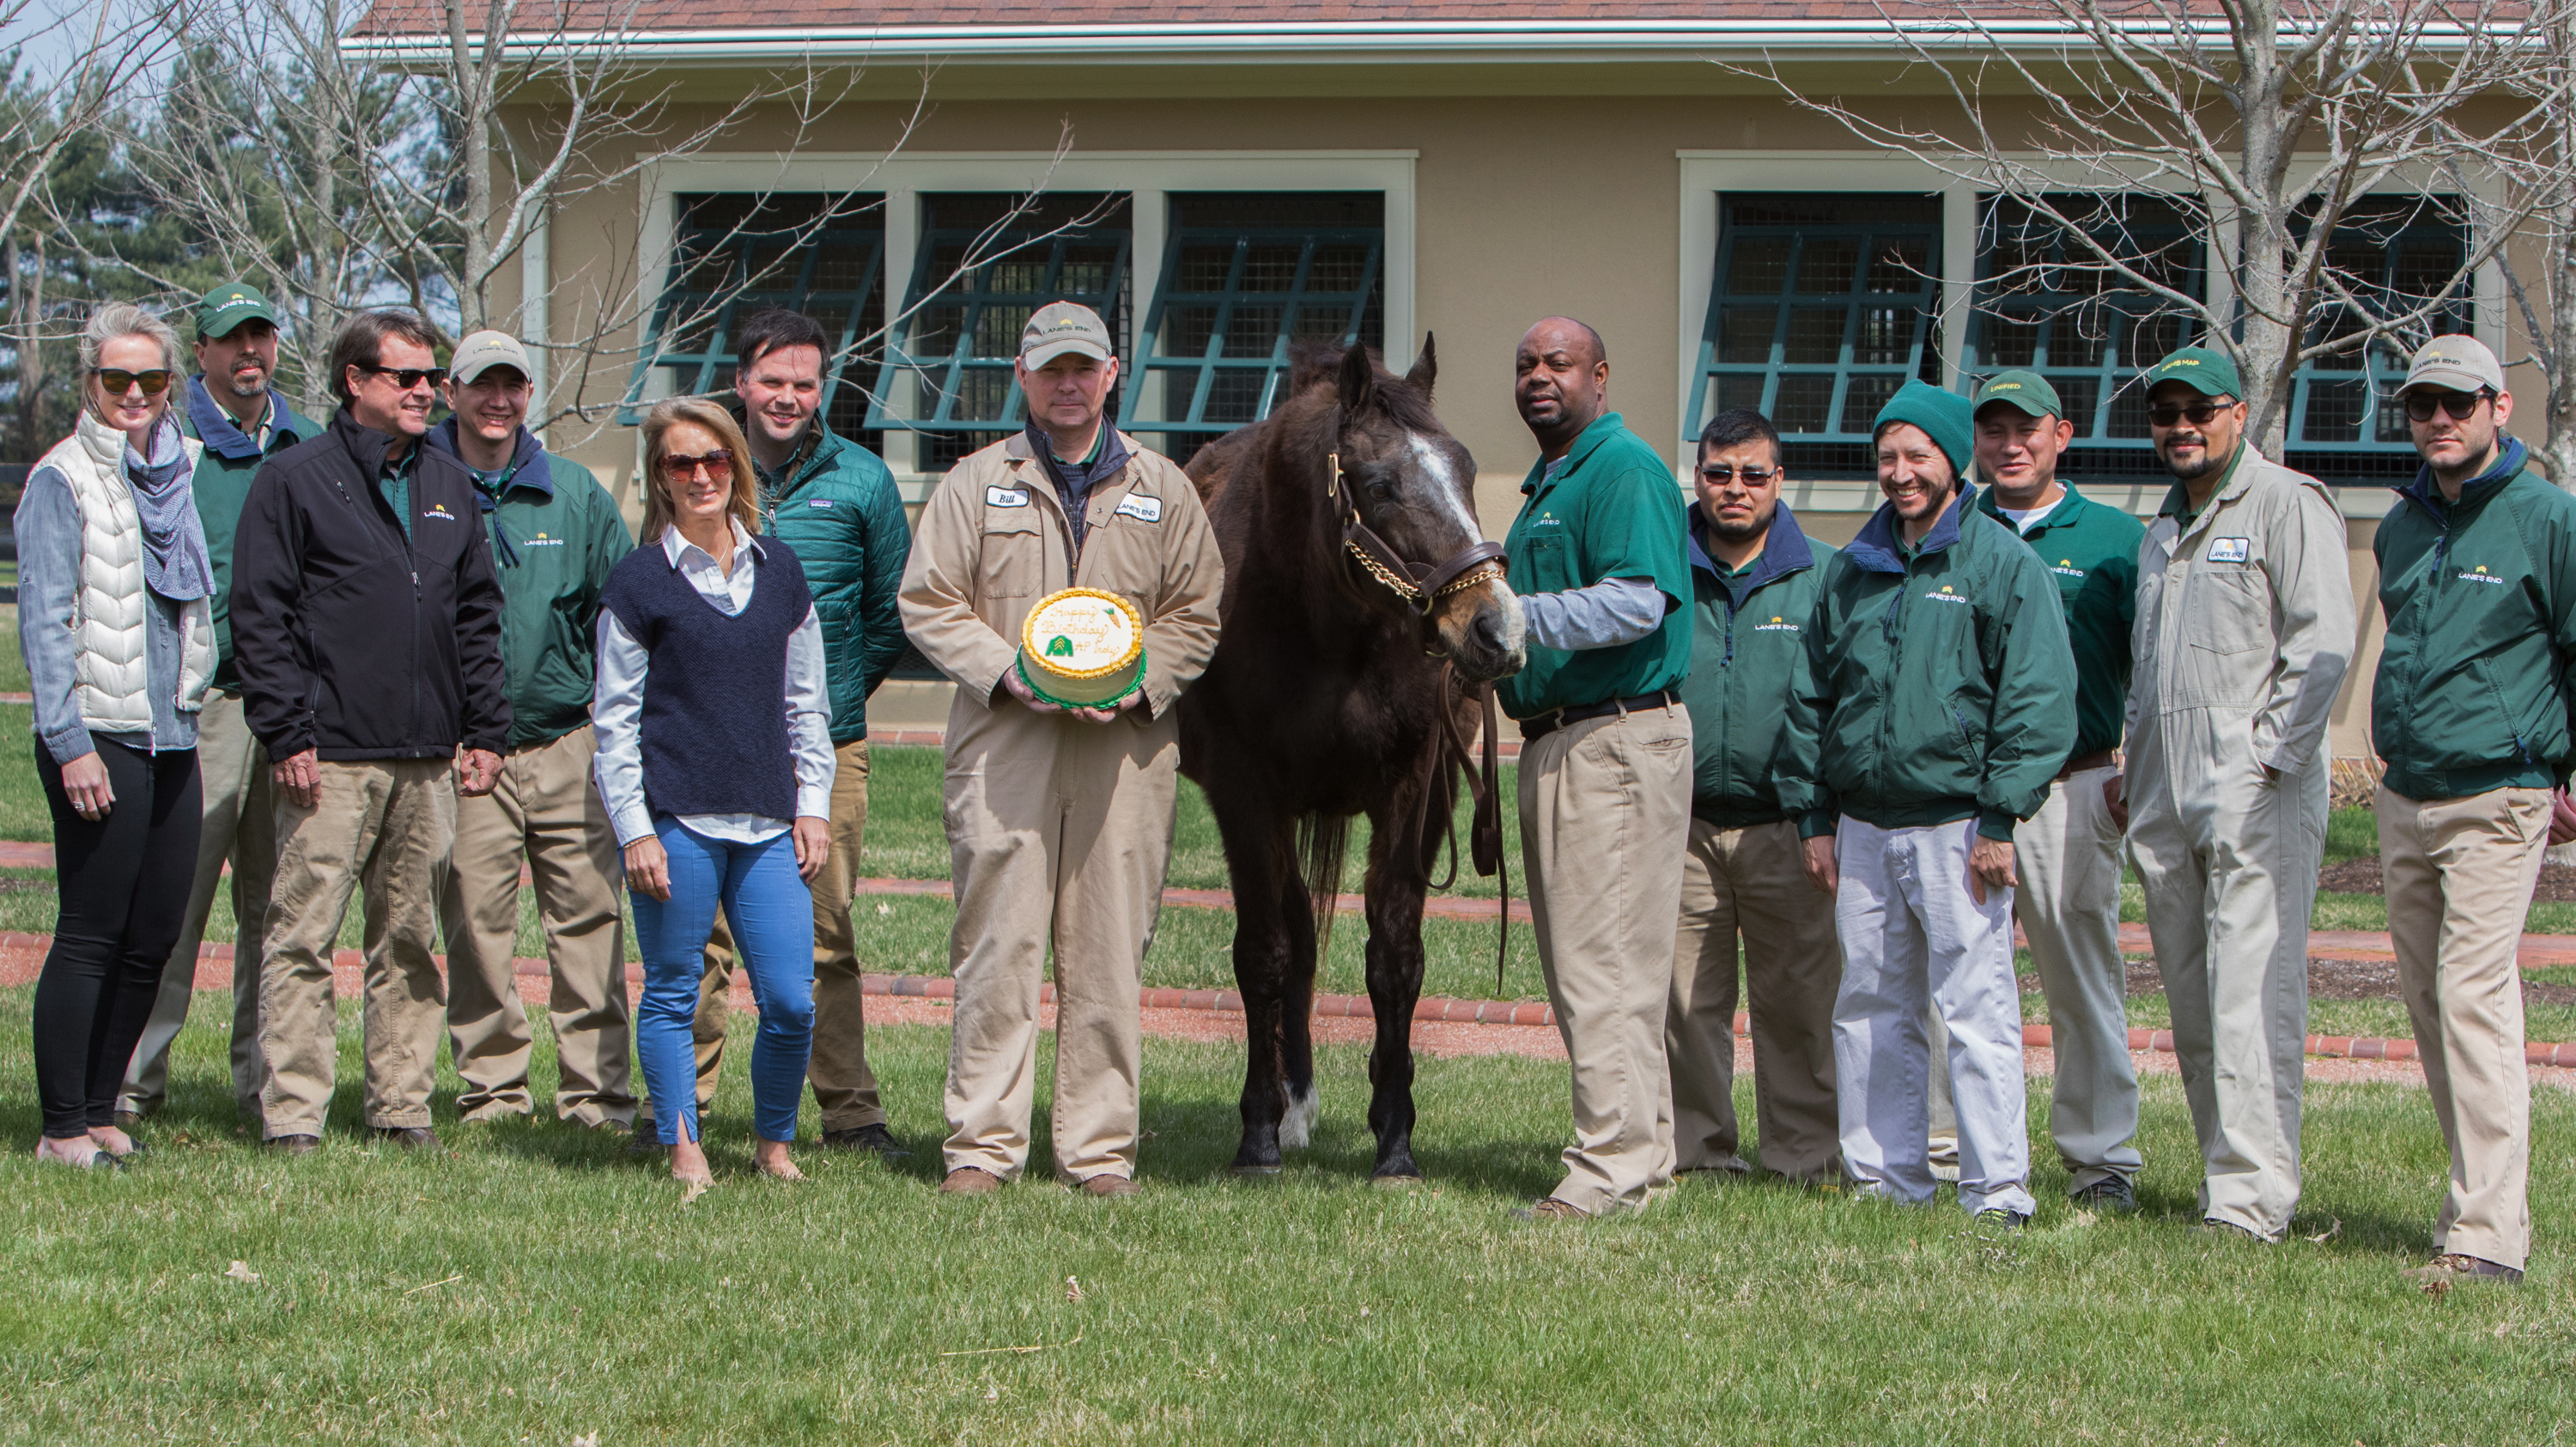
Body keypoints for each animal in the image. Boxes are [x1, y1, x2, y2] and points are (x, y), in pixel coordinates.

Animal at [1185, 337, 1525, 1184]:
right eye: (1379, 484)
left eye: (1466, 469)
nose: (1497, 627)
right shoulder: (1246, 796)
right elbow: (1265, 955)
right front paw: (1260, 1132)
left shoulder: (1416, 789)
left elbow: (1395, 956)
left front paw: (1395, 1134)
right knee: (1297, 940)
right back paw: (1292, 1100)